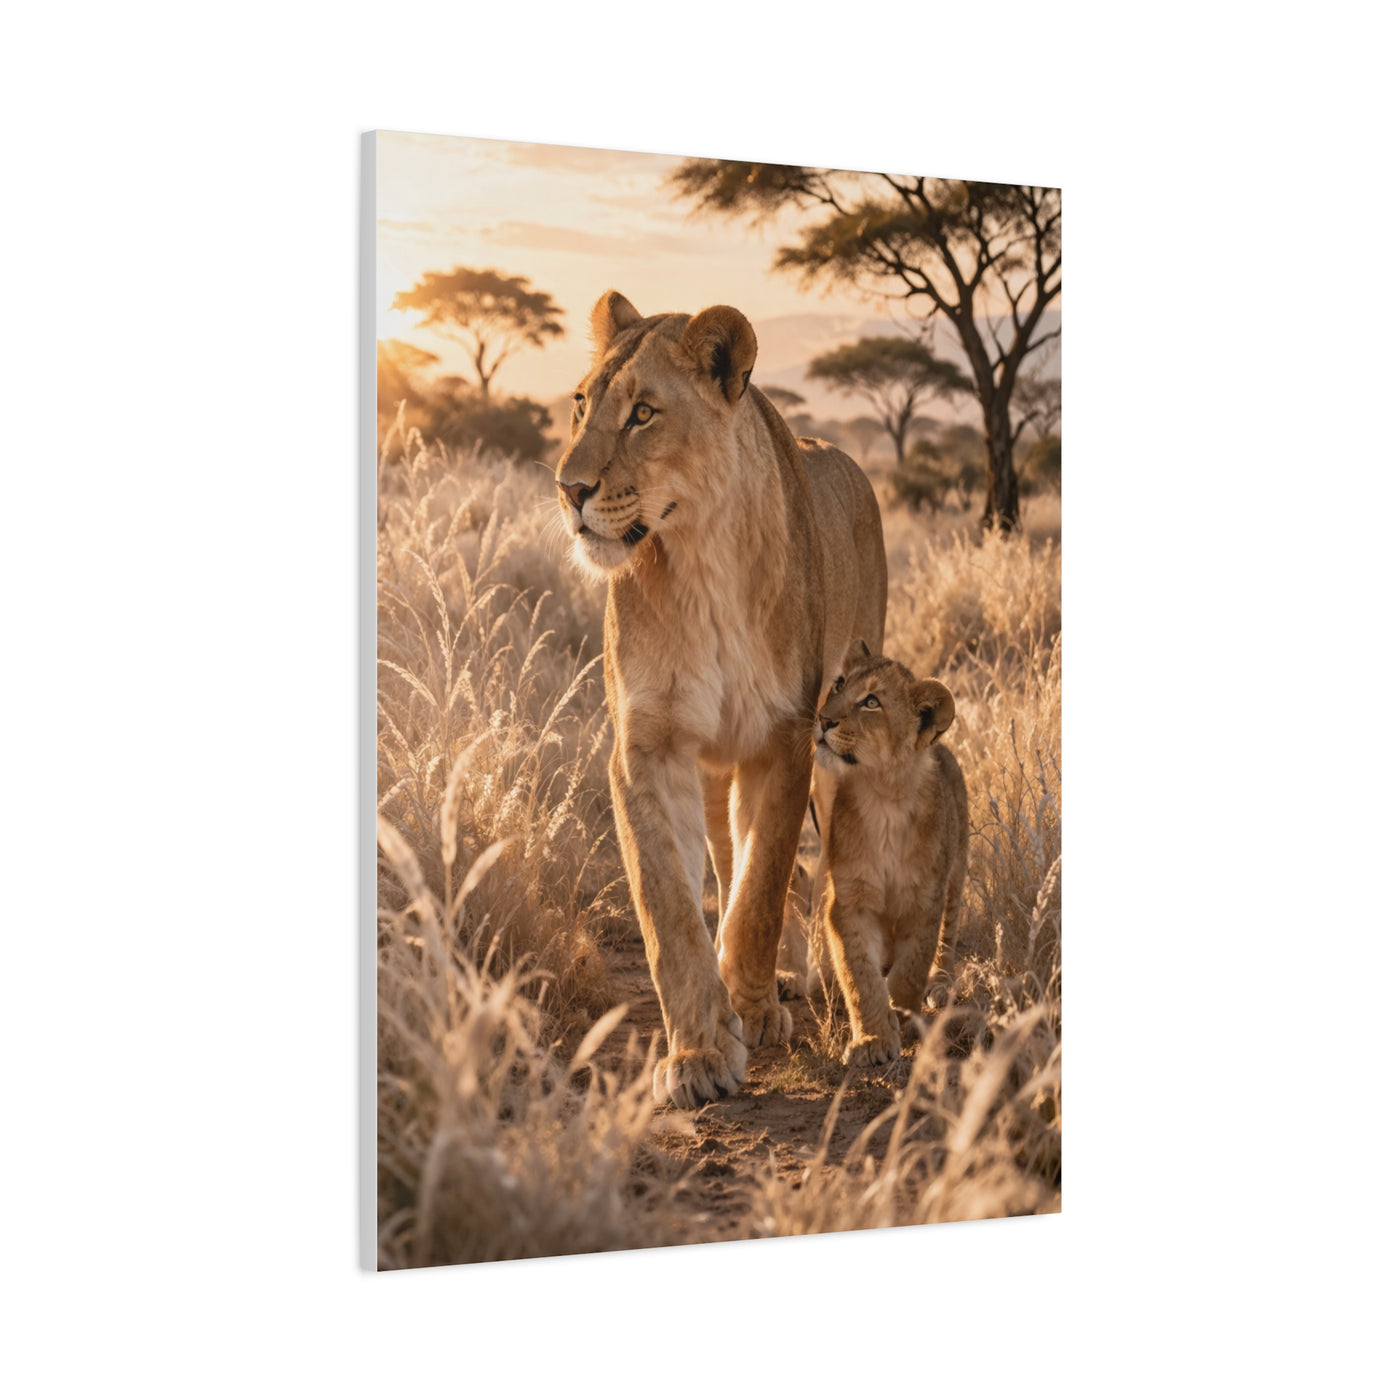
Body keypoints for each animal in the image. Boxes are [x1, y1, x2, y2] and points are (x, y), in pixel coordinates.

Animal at [555, 291, 886, 1108]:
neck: (700, 556)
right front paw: (701, 1049)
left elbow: (761, 885)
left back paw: (792, 982)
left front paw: (753, 1004)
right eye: (581, 405)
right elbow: (670, 907)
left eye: (643, 413)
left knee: (796, 868)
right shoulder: (647, 746)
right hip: (710, 767)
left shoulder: (787, 738)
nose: (568, 490)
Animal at [810, 644, 969, 1067]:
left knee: (947, 941)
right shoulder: (849, 902)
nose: (823, 718)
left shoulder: (925, 900)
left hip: (956, 877)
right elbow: (859, 976)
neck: (883, 796)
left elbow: (911, 969)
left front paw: (902, 1012)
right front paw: (873, 1038)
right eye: (839, 684)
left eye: (871, 702)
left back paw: (941, 985)